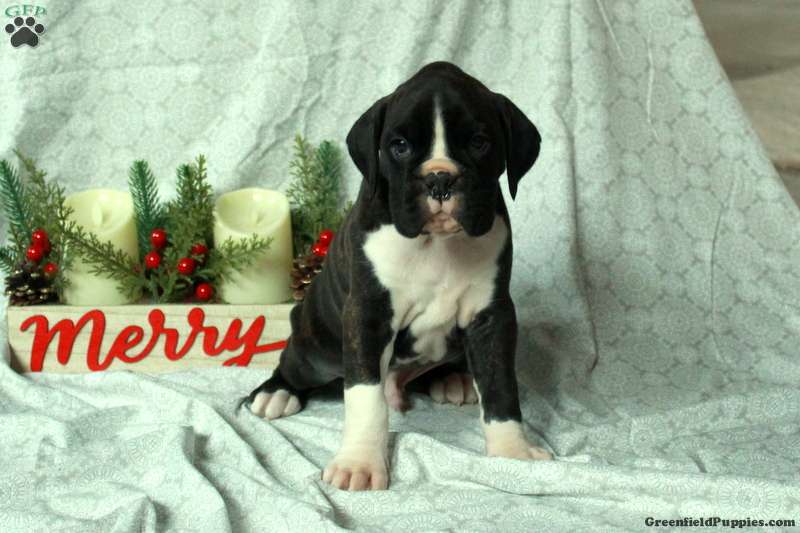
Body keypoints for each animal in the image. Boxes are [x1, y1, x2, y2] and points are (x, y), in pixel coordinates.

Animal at [247, 62, 552, 491]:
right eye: (400, 146)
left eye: (479, 142)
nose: (439, 179)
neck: (436, 244)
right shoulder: (367, 315)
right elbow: (365, 397)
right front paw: (359, 463)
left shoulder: (491, 316)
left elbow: (500, 386)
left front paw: (513, 452)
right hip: (316, 349)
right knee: (295, 363)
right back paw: (275, 392)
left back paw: (452, 378)